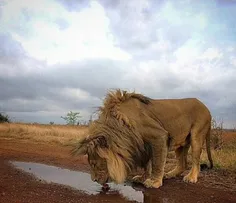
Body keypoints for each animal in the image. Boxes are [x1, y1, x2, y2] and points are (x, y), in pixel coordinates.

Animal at [72, 89, 214, 188]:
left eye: (94, 164)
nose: (94, 180)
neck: (120, 126)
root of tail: (207, 108)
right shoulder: (143, 144)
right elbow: (147, 164)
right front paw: (142, 177)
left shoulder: (159, 135)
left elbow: (157, 163)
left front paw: (154, 182)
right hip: (181, 141)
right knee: (182, 163)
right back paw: (169, 174)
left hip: (197, 135)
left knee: (195, 161)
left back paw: (191, 177)